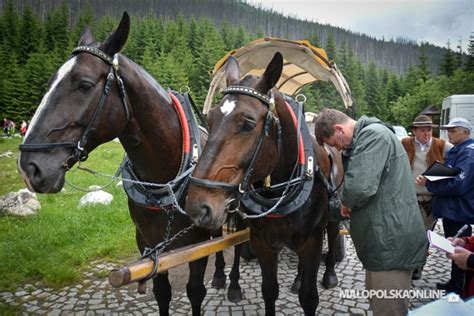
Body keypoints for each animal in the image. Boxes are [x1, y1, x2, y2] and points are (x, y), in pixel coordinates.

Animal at [16, 12, 243, 316]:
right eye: (50, 81)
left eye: (84, 84)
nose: (29, 167)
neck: (164, 177)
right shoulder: (149, 244)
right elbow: (162, 293)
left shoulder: (196, 242)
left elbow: (195, 291)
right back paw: (219, 275)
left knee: (237, 241)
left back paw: (233, 285)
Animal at [185, 51, 336, 314]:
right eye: (210, 119)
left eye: (247, 123)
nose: (197, 206)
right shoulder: (262, 242)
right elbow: (269, 291)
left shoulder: (313, 242)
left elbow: (309, 297)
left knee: (335, 234)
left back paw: (329, 275)